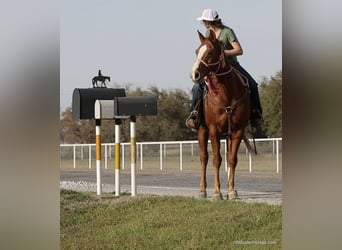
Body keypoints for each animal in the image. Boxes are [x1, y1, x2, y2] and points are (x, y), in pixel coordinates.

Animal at [190, 30, 254, 200]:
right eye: (197, 51)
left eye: (210, 52)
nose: (194, 74)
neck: (227, 94)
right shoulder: (214, 130)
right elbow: (216, 159)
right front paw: (217, 192)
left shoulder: (238, 131)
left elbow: (232, 159)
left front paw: (231, 191)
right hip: (202, 130)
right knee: (204, 157)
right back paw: (202, 190)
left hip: (229, 134)